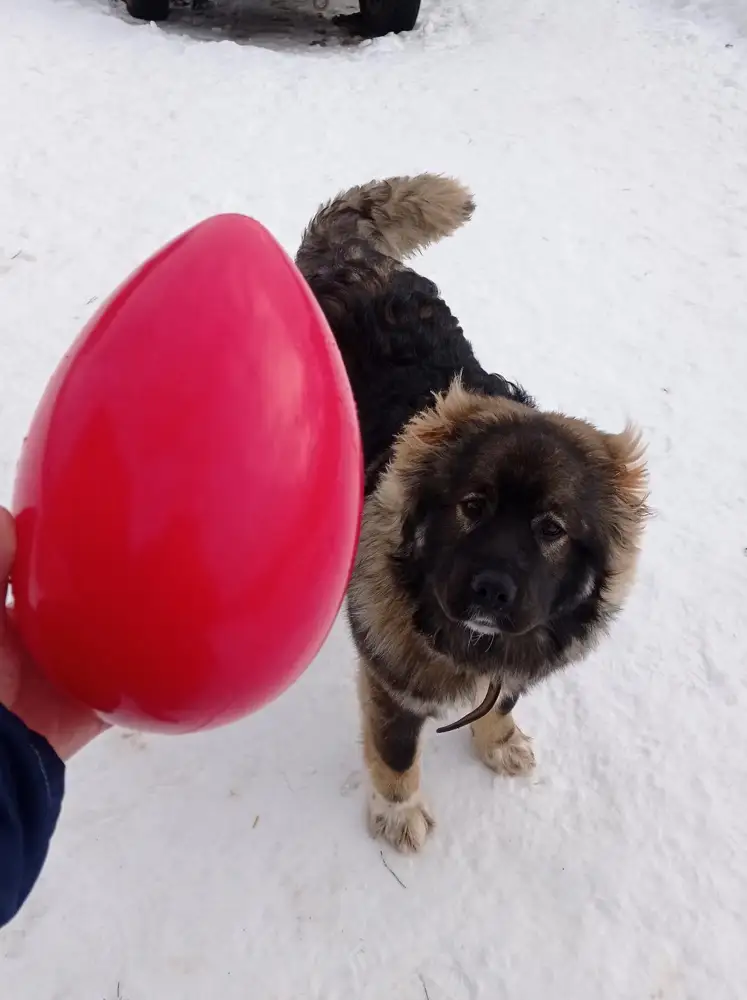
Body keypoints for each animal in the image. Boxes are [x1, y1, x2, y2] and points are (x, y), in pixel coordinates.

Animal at [296, 174, 644, 852]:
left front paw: (499, 743)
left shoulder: (513, 659)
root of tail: (346, 255)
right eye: (472, 507)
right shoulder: (392, 681)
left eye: (552, 529)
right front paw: (398, 814)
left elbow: (500, 703)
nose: (491, 591)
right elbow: (396, 756)